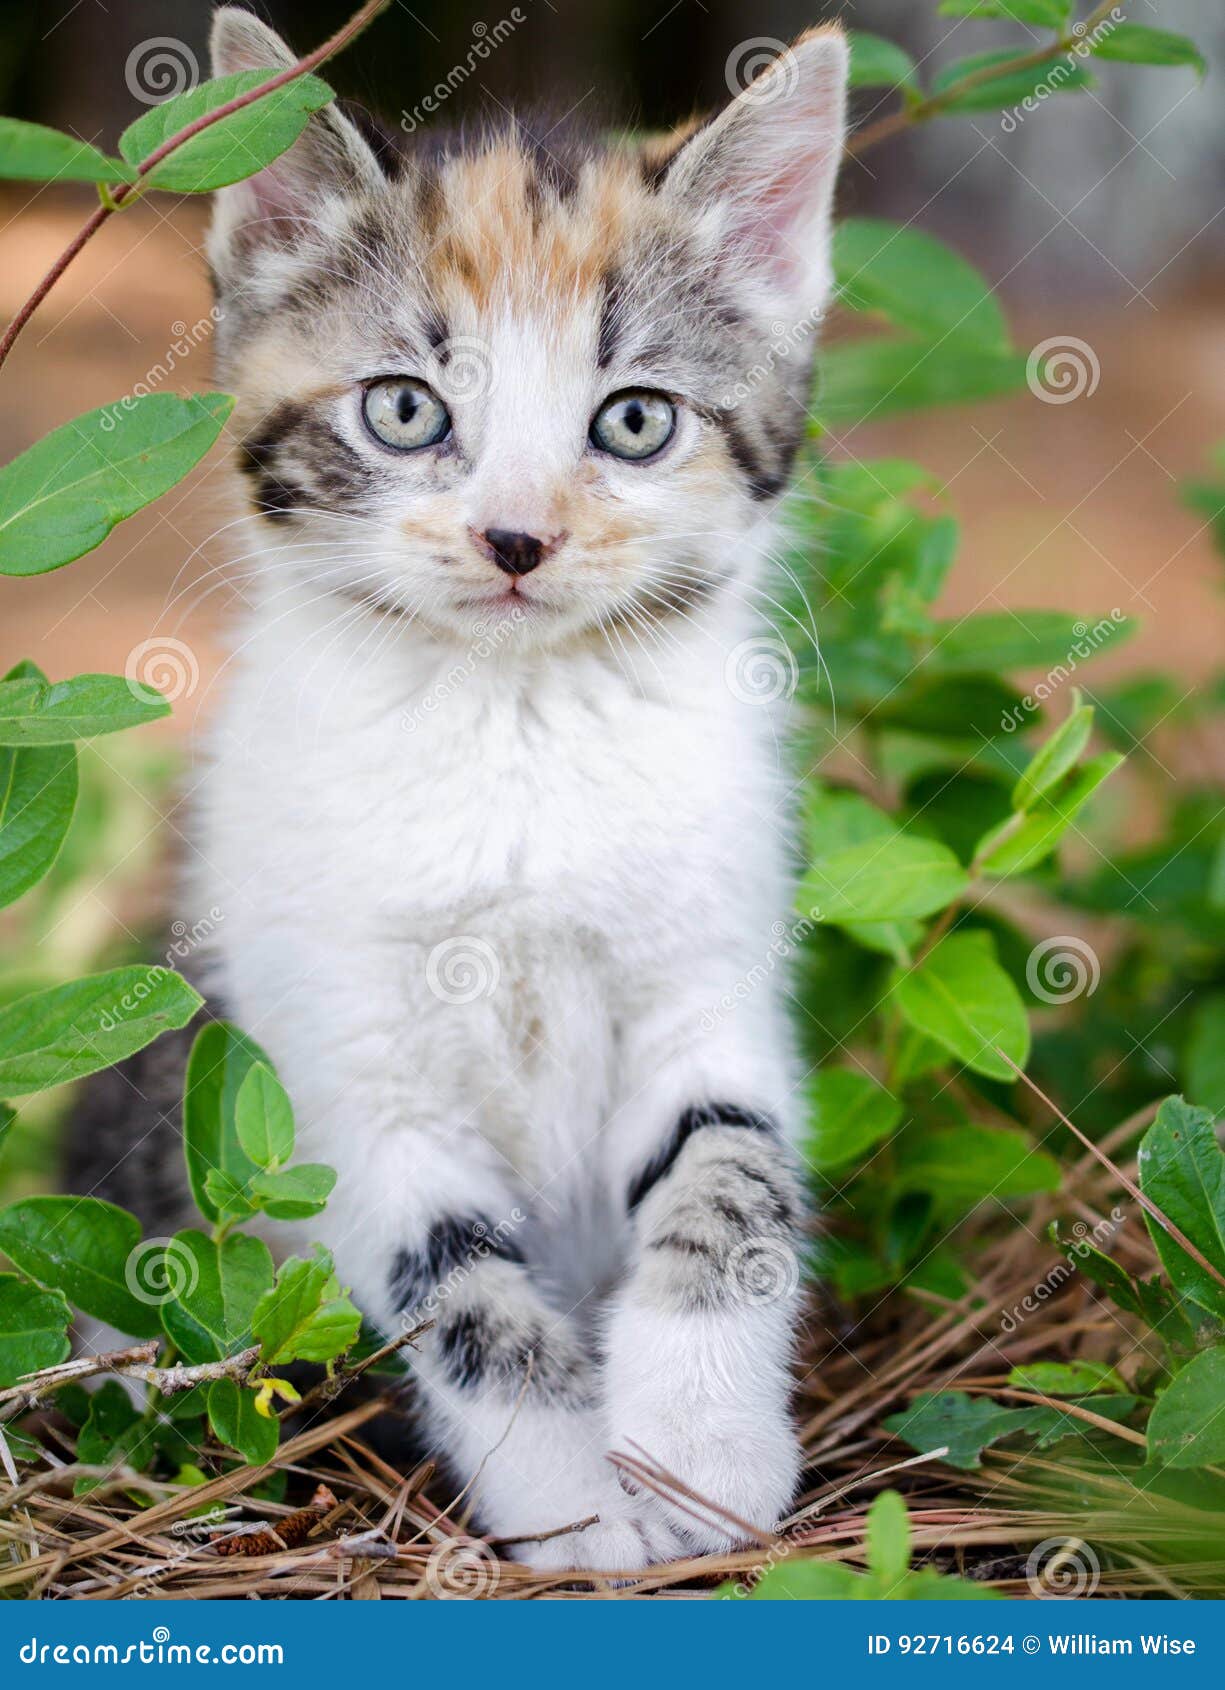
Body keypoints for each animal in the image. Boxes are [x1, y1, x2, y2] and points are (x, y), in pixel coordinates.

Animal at [73, 13, 841, 1568]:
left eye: (635, 422)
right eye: (406, 409)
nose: (516, 537)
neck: (515, 721)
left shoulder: (710, 979)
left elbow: (729, 1176)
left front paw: (699, 1452)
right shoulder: (342, 1068)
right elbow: (457, 1278)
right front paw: (576, 1506)